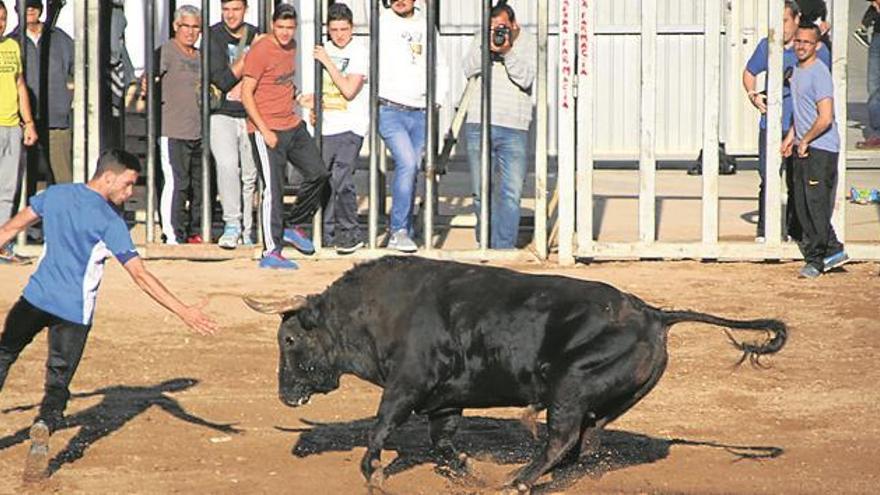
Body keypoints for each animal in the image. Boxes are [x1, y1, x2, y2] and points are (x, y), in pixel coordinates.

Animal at [244, 258, 788, 490]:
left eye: (288, 340)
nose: (284, 394)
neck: (375, 309)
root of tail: (654, 314)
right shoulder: (445, 399)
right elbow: (443, 443)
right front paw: (468, 473)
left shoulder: (408, 386)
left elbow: (380, 428)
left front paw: (373, 473)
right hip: (601, 401)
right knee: (583, 443)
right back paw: (530, 478)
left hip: (571, 387)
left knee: (562, 438)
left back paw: (519, 480)